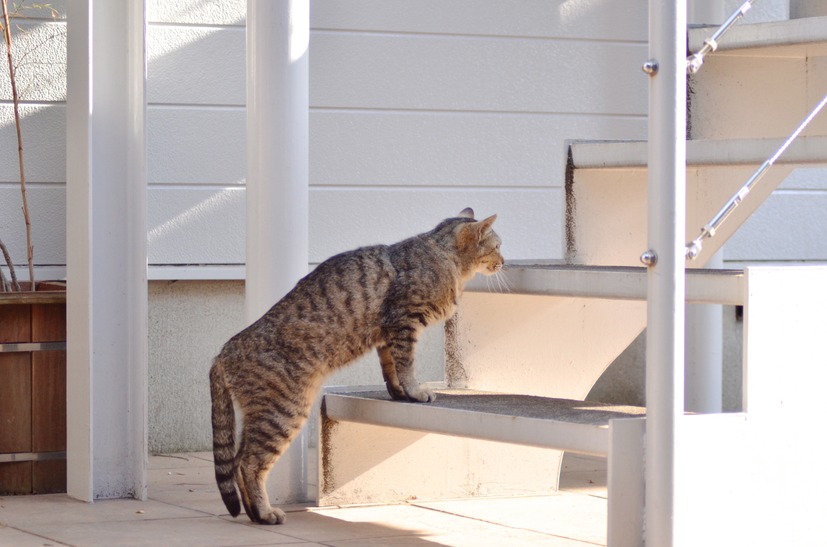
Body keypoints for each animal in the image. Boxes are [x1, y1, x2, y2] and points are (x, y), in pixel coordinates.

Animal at [210, 208, 502, 524]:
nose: (504, 261)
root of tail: (223, 352)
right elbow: (406, 363)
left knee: (237, 461)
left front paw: (400, 392)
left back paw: (254, 512)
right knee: (248, 463)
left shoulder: (388, 334)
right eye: (498, 246)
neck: (444, 255)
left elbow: (391, 367)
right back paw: (264, 513)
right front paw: (415, 391)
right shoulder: (404, 321)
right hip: (283, 412)